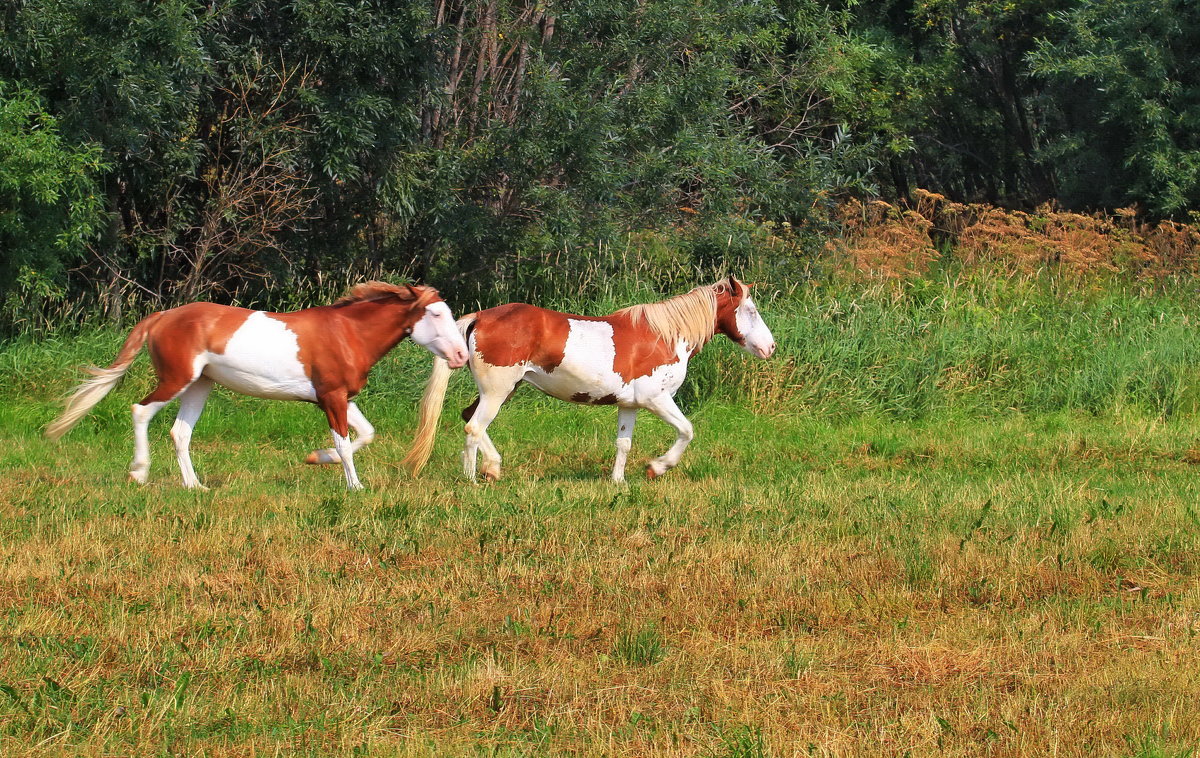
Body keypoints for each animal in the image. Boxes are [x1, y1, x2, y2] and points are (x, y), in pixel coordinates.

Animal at [45, 281, 468, 489]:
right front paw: (355, 487)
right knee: (140, 411)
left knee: (180, 433)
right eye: (435, 314)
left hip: (200, 386)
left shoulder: (339, 397)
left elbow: (366, 434)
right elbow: (345, 445)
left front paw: (315, 458)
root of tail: (164, 316)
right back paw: (139, 473)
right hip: (177, 379)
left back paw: (195, 486)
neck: (347, 333)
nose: (462, 356)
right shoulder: (331, 397)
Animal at [403, 275, 777, 482]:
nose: (770, 347)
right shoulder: (657, 400)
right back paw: (478, 477)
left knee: (469, 420)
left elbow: (623, 444)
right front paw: (657, 468)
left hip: (502, 391)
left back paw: (484, 470)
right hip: (498, 390)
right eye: (751, 310)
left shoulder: (630, 405)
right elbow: (687, 430)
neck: (665, 336)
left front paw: (618, 482)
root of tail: (480, 317)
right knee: (474, 427)